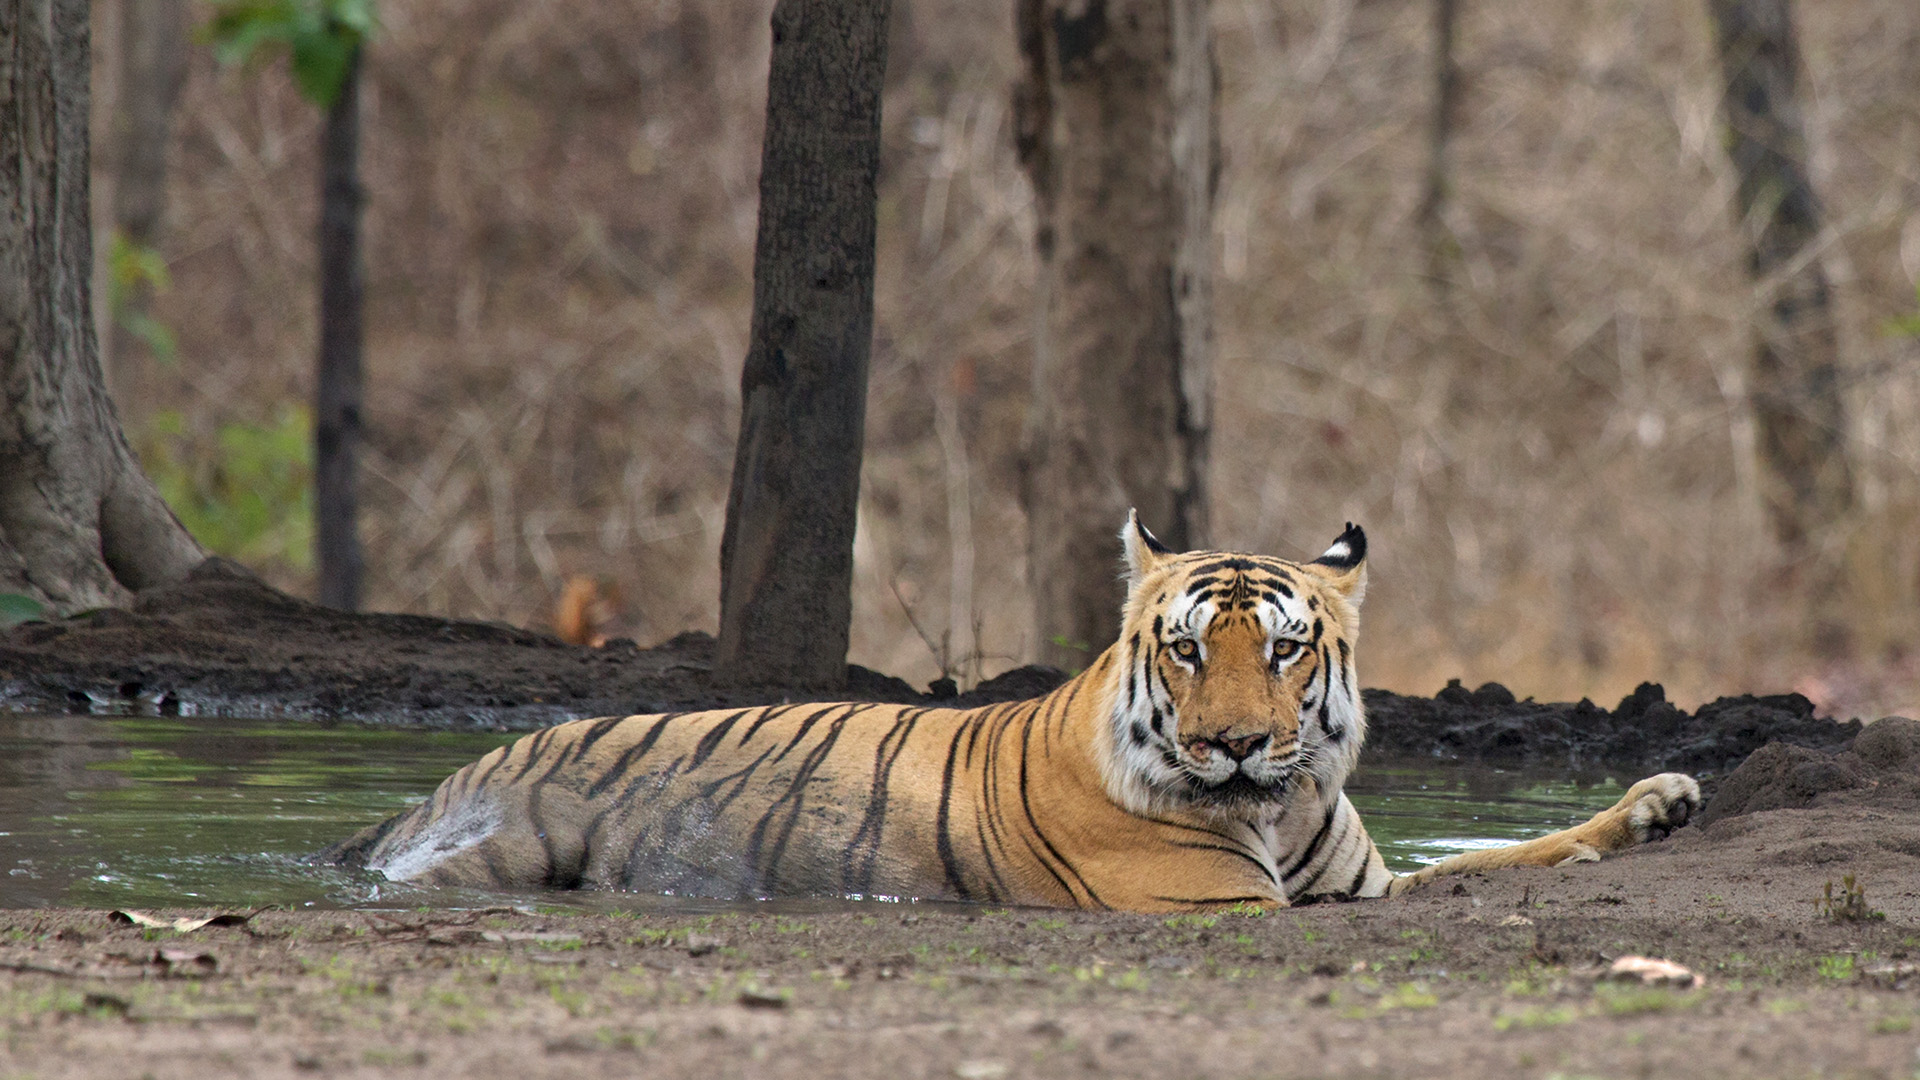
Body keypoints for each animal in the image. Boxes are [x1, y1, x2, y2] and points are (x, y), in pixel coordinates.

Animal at [326, 511, 1697, 907]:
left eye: (1288, 651)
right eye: (1188, 653)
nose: (1236, 746)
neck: (1280, 805)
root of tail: (443, 784)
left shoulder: (1357, 879)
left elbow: (1497, 856)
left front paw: (1655, 806)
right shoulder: (1220, 908)